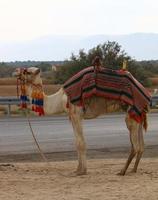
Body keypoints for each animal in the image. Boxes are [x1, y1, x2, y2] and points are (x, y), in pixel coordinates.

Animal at [14, 67, 150, 175]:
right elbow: (76, 143)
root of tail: (144, 92)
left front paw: (82, 171)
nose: (15, 72)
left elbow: (81, 143)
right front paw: (77, 169)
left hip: (131, 112)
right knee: (141, 146)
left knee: (135, 145)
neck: (60, 100)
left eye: (27, 71)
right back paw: (133, 170)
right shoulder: (73, 116)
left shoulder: (76, 114)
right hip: (137, 113)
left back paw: (122, 171)